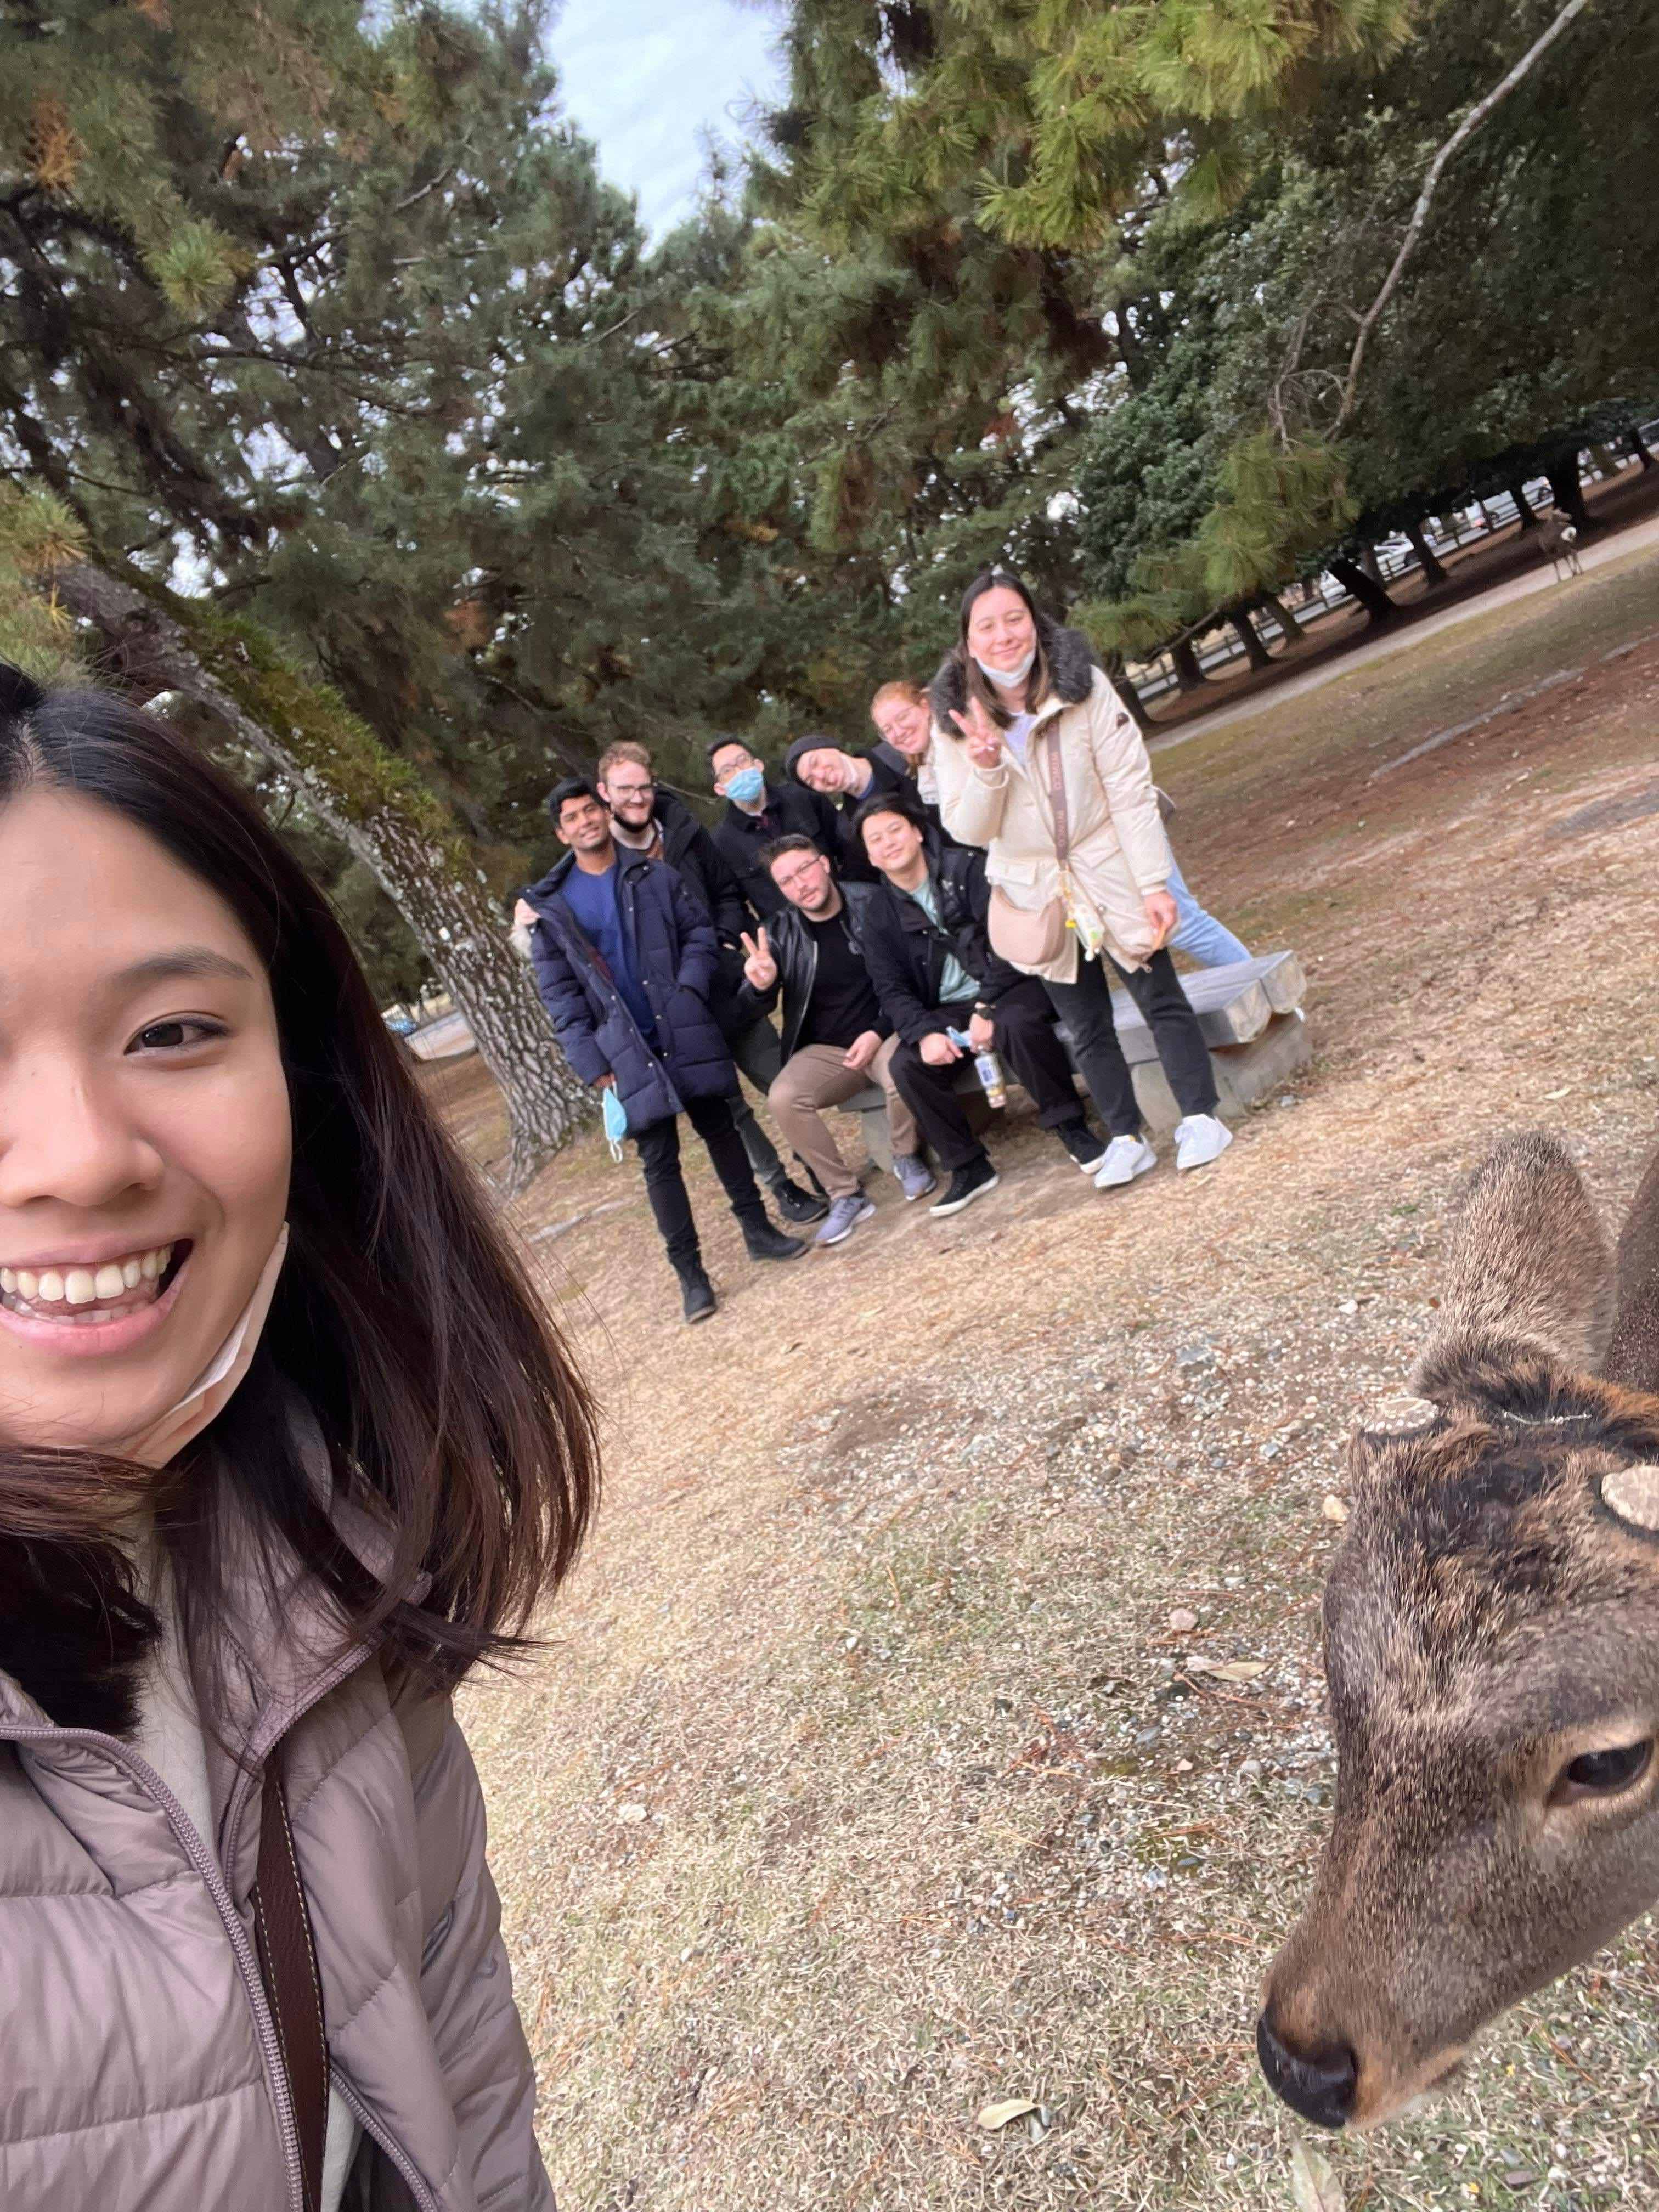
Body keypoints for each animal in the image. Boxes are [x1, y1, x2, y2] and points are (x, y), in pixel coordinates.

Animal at [1539, 509, 1593, 579]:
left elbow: (1557, 563)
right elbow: (1566, 559)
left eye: (1560, 512)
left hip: (1564, 545)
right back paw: (1580, 571)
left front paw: (1559, 578)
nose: (1569, 516)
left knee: (1572, 553)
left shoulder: (1550, 551)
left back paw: (1576, 572)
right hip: (1572, 542)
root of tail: (1571, 531)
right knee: (1575, 553)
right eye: (1558, 513)